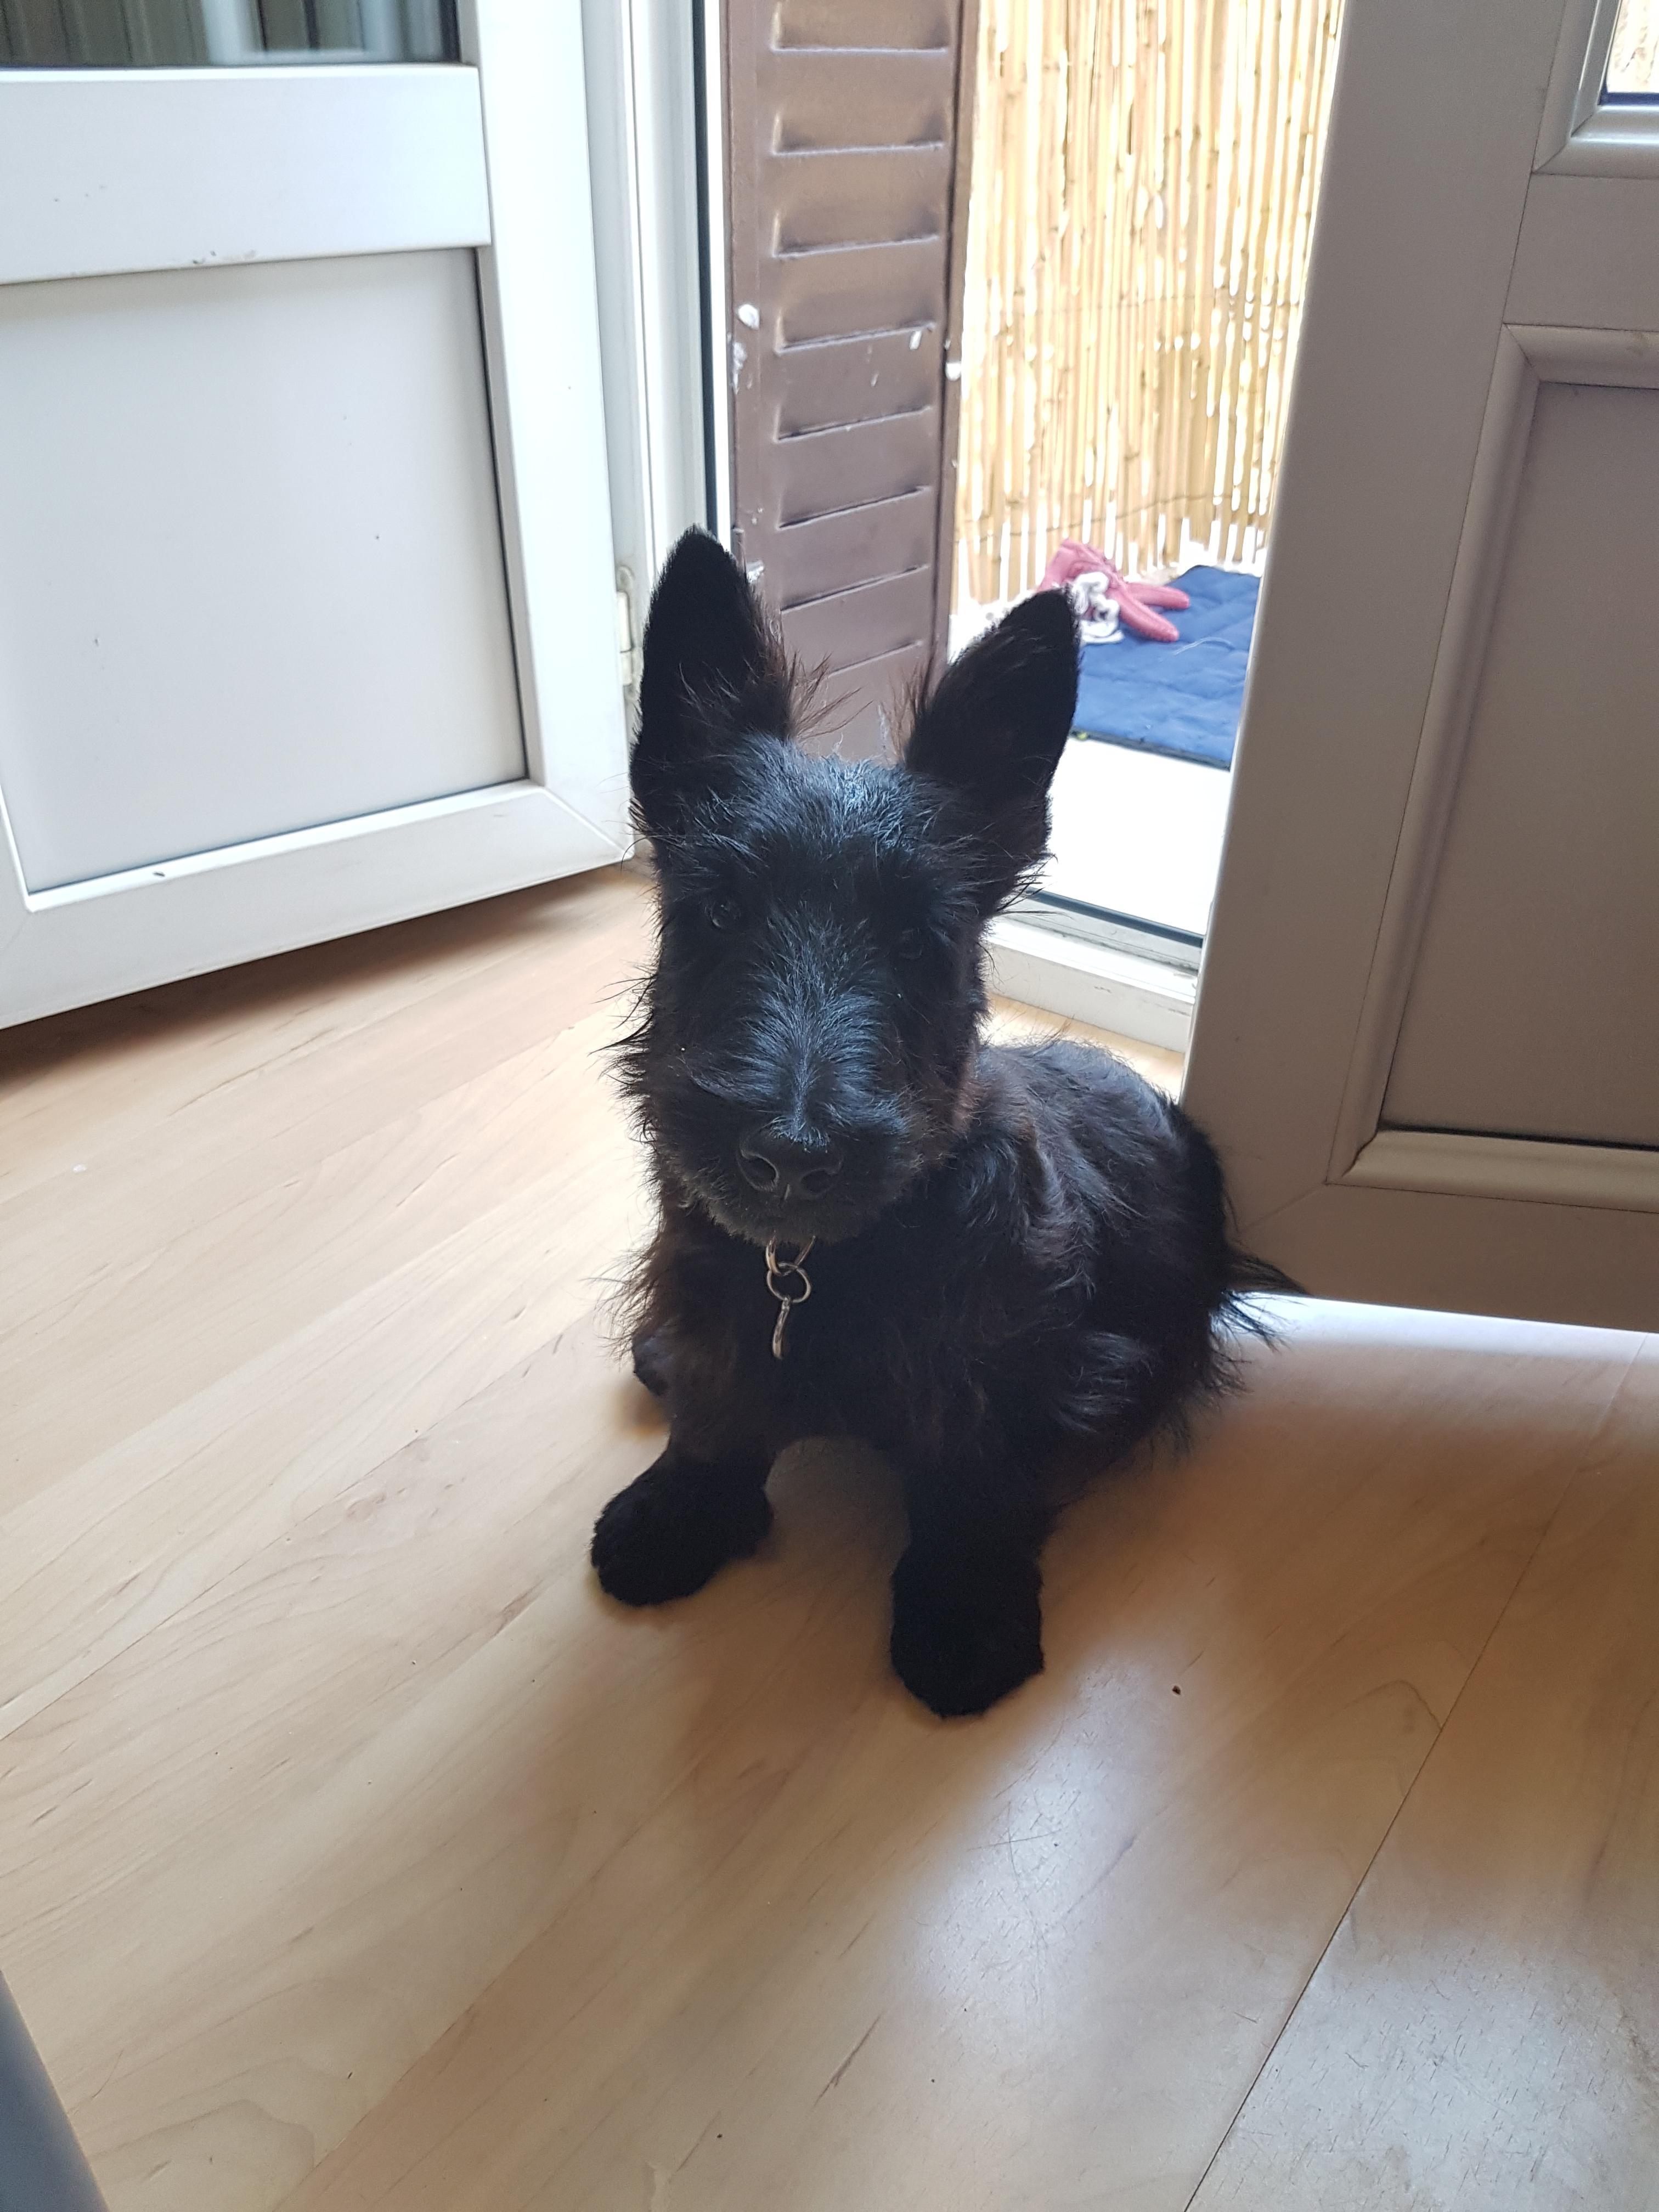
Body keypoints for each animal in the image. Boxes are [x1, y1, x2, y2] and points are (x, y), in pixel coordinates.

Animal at [591, 529, 1282, 1718]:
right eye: (718, 911)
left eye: (919, 940)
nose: (788, 1158)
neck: (813, 1266)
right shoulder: (713, 1302)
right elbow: (717, 1414)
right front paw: (677, 1514)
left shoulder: (1016, 1372)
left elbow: (974, 1484)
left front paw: (963, 1614)